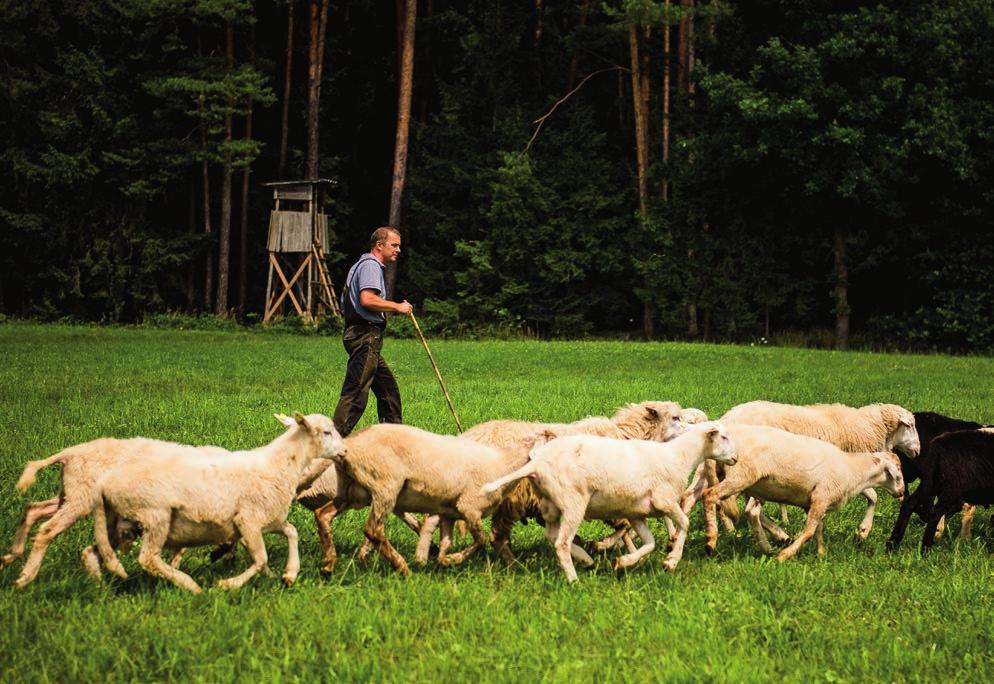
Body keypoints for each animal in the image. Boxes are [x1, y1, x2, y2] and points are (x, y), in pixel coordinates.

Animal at [7, 412, 344, 592]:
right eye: (327, 431)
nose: (343, 452)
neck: (277, 464)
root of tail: (71, 452)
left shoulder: (267, 520)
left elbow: (290, 533)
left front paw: (287, 574)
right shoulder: (248, 520)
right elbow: (259, 557)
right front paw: (228, 583)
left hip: (90, 506)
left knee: (68, 534)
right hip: (128, 510)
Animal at [480, 424, 736, 580]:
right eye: (723, 436)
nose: (736, 457)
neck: (678, 457)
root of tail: (537, 463)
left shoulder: (636, 513)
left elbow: (650, 542)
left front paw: (623, 562)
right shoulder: (665, 501)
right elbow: (684, 524)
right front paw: (671, 561)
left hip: (549, 504)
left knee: (552, 535)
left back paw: (587, 560)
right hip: (574, 502)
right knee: (561, 542)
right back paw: (573, 579)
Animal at [692, 422, 904, 560]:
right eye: (899, 475)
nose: (902, 494)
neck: (852, 470)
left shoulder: (815, 501)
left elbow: (818, 529)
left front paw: (821, 554)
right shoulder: (821, 496)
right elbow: (809, 531)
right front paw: (785, 555)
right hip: (740, 476)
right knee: (709, 496)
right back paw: (711, 542)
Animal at [716, 400, 920, 540]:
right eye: (910, 425)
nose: (918, 450)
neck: (868, 427)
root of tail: (727, 418)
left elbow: (872, 496)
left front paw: (862, 531)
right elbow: (874, 495)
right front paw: (864, 530)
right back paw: (736, 531)